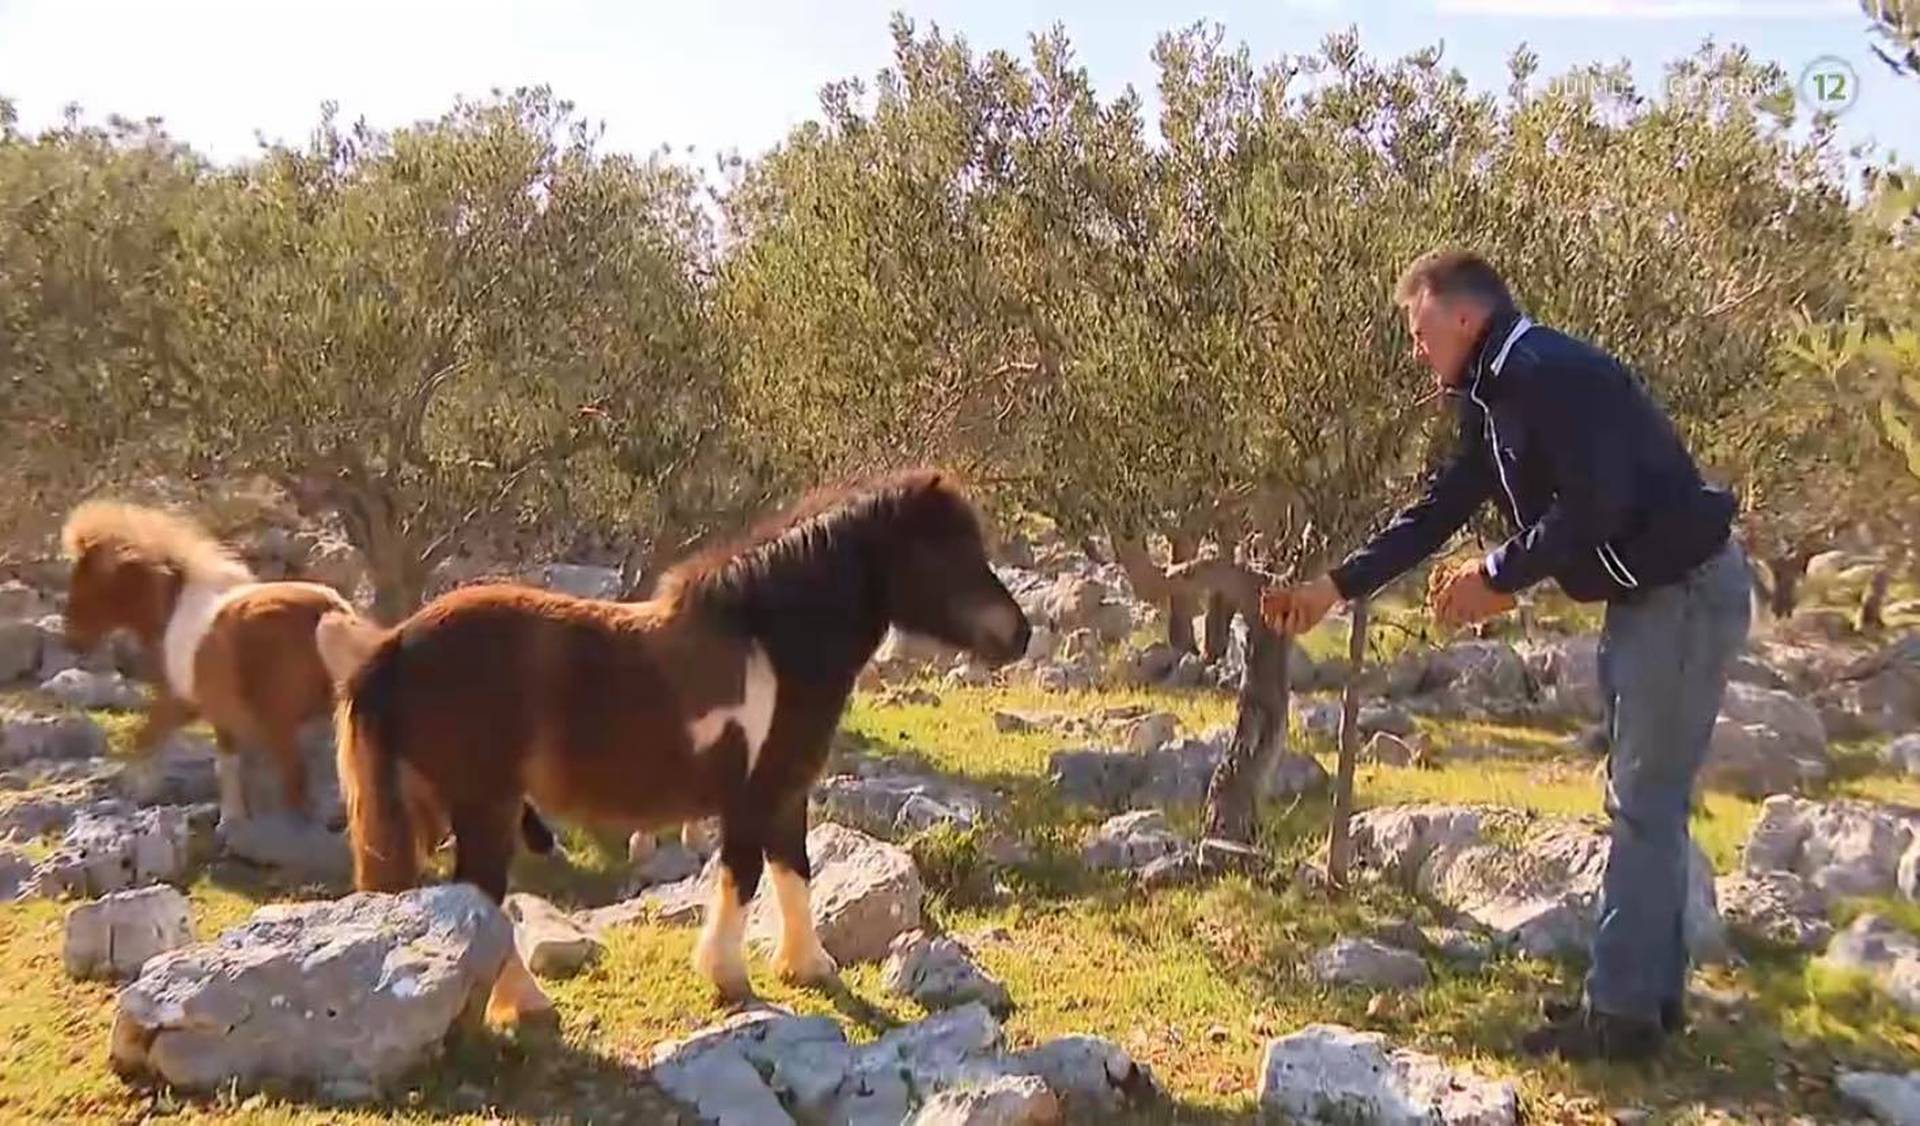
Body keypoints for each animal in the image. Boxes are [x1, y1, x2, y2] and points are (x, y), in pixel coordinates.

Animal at [59, 499, 362, 822]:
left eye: (84, 583)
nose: (72, 641)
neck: (172, 608)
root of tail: (329, 611)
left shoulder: (178, 701)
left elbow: (149, 738)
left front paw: (142, 790)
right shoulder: (219, 712)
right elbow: (226, 759)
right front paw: (233, 815)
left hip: (280, 721)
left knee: (295, 783)